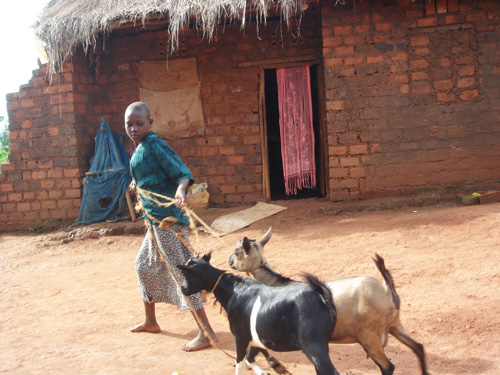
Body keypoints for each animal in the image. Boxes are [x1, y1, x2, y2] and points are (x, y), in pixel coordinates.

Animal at [179, 253, 340, 375]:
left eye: (186, 274)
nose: (182, 289)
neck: (233, 291)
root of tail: (320, 294)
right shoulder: (257, 336)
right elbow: (251, 357)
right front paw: (271, 368)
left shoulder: (240, 337)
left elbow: (240, 362)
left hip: (314, 346)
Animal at [229, 228, 428, 375]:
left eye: (237, 252)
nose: (229, 261)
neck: (276, 285)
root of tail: (386, 288)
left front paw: (275, 365)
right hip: (394, 324)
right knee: (418, 347)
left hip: (369, 336)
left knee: (388, 367)